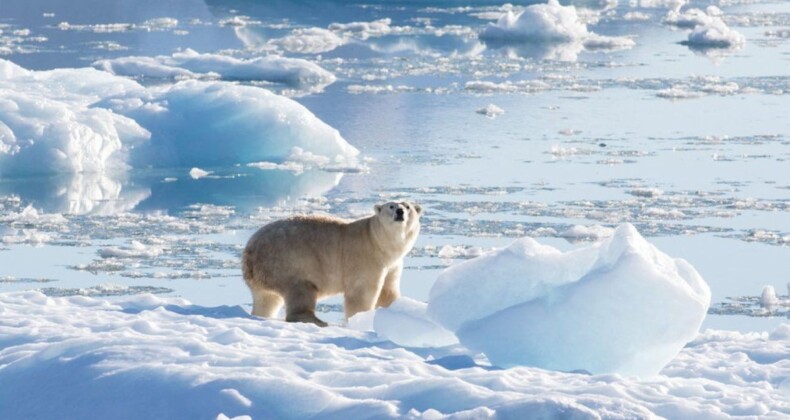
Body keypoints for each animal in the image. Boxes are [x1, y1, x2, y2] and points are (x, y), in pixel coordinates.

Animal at [243, 202, 424, 326]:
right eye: (391, 206)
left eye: (407, 206)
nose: (400, 212)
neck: (377, 240)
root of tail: (249, 253)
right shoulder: (365, 257)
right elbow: (362, 293)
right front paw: (360, 319)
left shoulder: (393, 264)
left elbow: (388, 291)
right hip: (288, 262)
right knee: (301, 290)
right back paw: (318, 321)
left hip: (265, 274)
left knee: (267, 299)